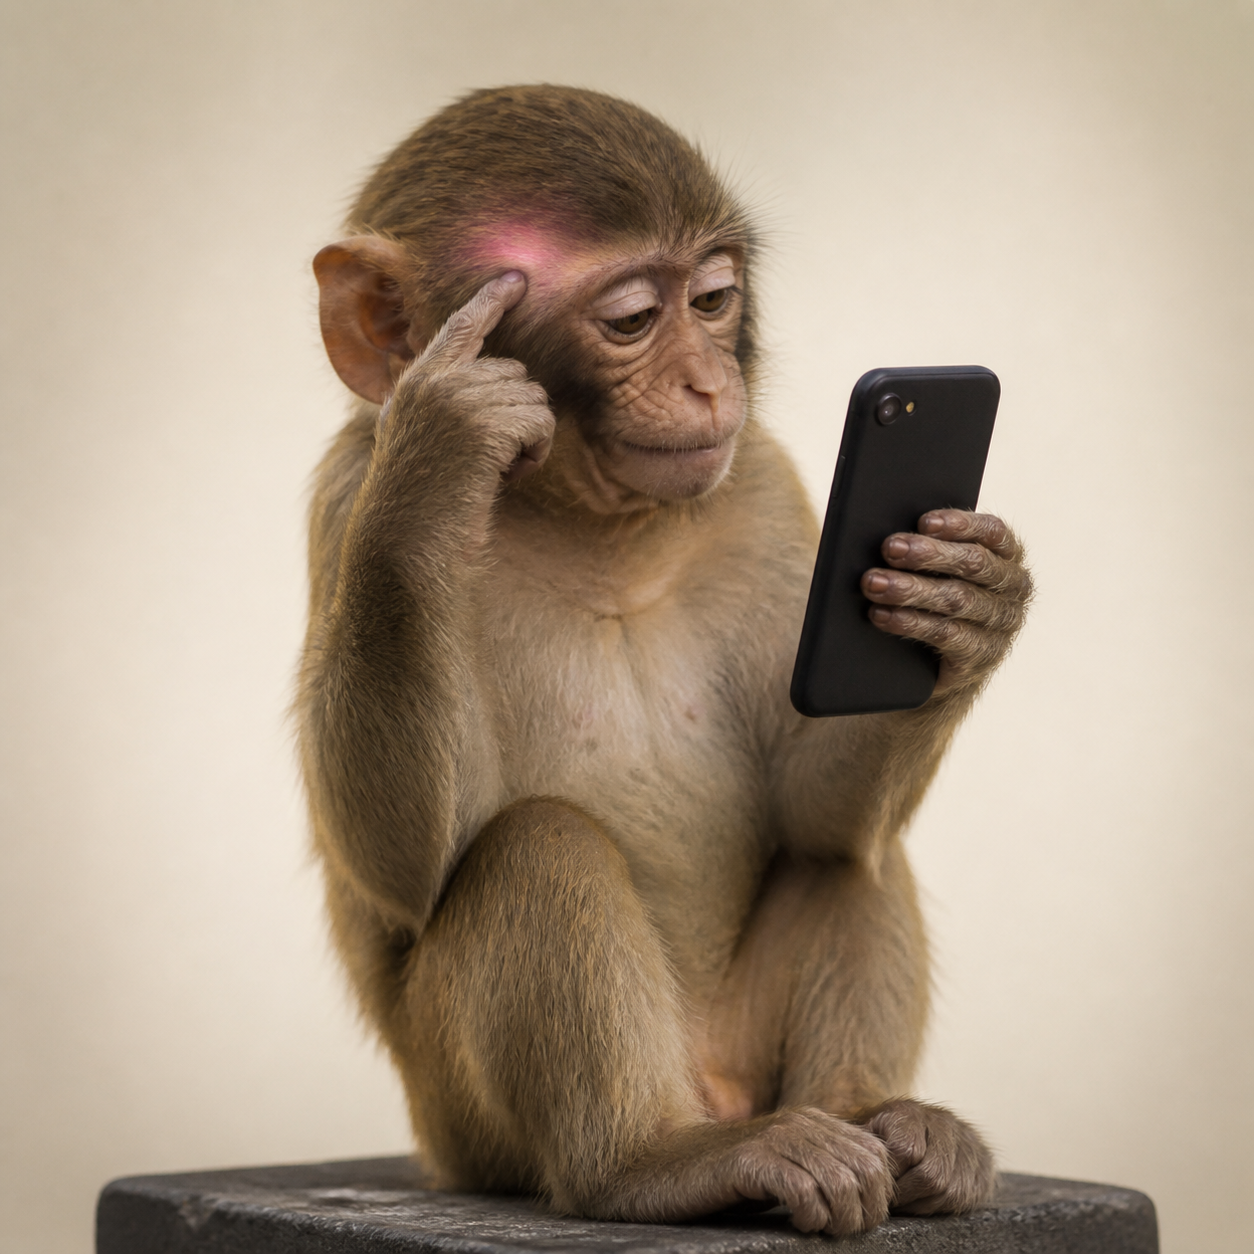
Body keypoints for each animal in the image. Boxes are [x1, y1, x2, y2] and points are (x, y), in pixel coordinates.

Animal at [298, 85, 1031, 1237]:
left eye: (716, 300)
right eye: (635, 319)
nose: (706, 383)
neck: (593, 525)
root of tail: (710, 1092)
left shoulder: (761, 481)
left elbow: (817, 811)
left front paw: (967, 605)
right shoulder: (344, 495)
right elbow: (407, 869)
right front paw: (438, 455)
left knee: (846, 855)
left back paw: (890, 1128)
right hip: (466, 1128)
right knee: (537, 845)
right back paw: (648, 1161)